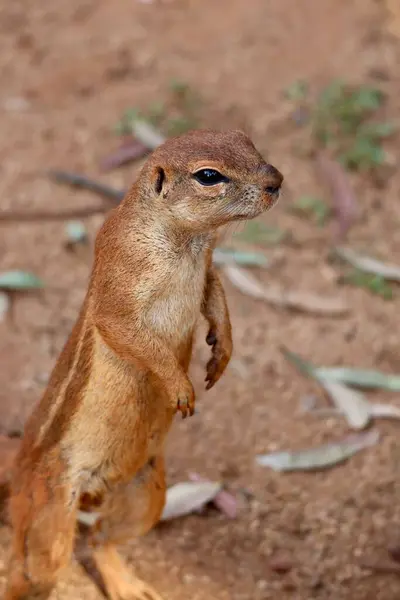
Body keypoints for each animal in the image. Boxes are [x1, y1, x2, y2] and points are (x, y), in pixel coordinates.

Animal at [4, 127, 282, 600]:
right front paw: (180, 386)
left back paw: (127, 584)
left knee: (100, 539)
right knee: (32, 568)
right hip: (50, 514)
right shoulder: (121, 277)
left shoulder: (208, 266)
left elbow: (216, 296)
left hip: (147, 495)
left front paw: (221, 354)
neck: (186, 243)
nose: (276, 181)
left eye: (246, 140)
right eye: (209, 176)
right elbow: (129, 333)